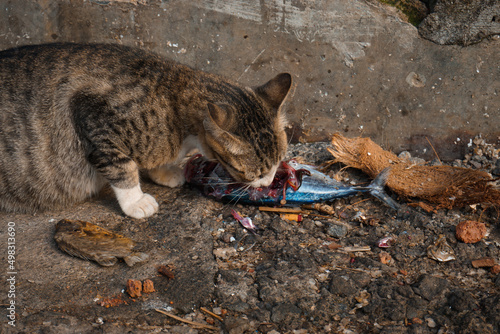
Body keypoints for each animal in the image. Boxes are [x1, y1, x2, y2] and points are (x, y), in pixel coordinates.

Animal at [0, 42, 292, 219]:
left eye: (279, 162)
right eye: (254, 173)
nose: (268, 183)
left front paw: (163, 170)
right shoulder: (91, 114)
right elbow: (123, 166)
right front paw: (135, 201)